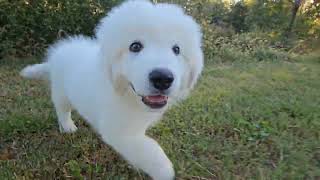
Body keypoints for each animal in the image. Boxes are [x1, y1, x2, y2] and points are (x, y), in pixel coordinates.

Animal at [20, 0, 202, 179]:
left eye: (176, 49)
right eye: (135, 46)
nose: (163, 78)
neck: (127, 95)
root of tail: (57, 55)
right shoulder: (118, 130)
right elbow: (150, 151)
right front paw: (164, 171)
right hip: (61, 91)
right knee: (62, 109)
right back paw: (67, 127)